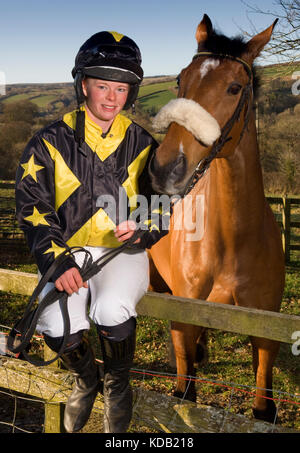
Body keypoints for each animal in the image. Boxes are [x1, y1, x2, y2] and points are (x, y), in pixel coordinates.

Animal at [149, 14, 284, 424]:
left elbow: (262, 405)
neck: (232, 240)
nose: (165, 169)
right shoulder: (183, 317)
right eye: (181, 79)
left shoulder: (267, 334)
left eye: (234, 87)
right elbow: (183, 392)